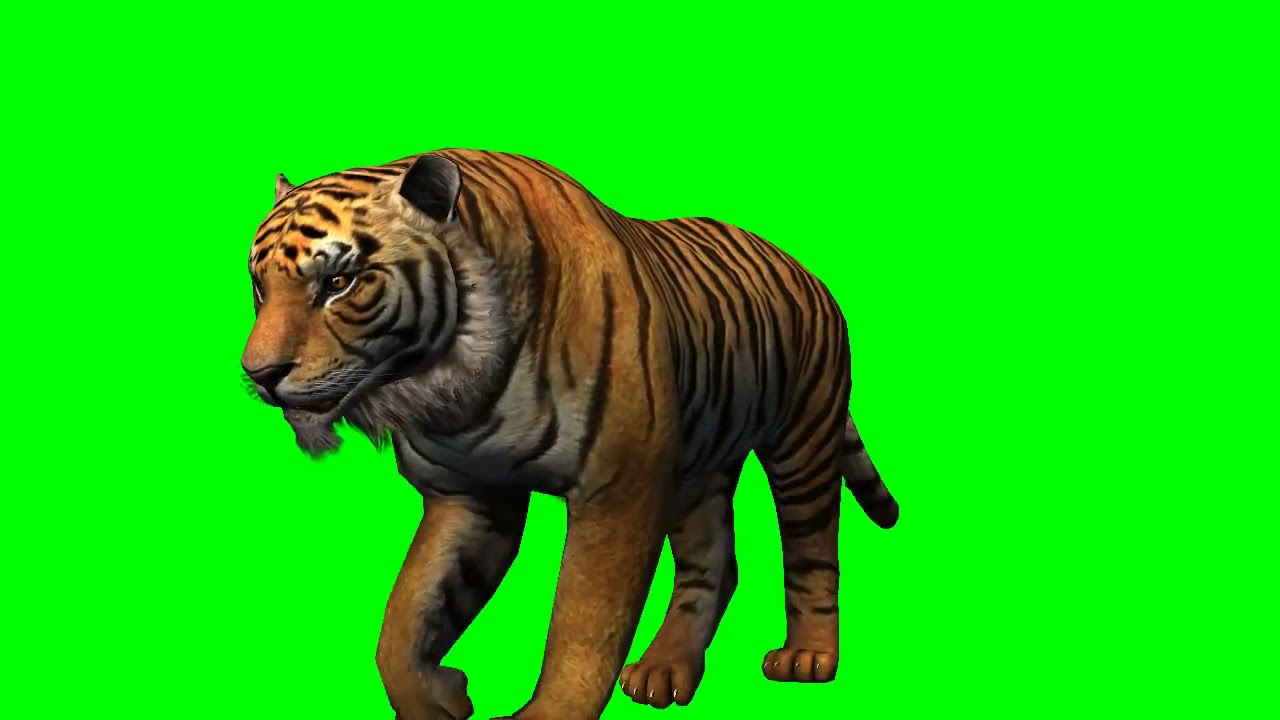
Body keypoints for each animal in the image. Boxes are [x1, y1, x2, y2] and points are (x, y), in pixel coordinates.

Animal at [240, 149, 900, 720]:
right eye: (259, 287)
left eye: (339, 283)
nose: (259, 374)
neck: (453, 388)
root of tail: (799, 264)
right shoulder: (467, 495)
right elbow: (404, 622)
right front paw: (441, 696)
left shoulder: (616, 489)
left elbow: (582, 625)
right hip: (699, 464)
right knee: (713, 558)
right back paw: (665, 671)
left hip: (802, 439)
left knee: (812, 548)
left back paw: (807, 657)